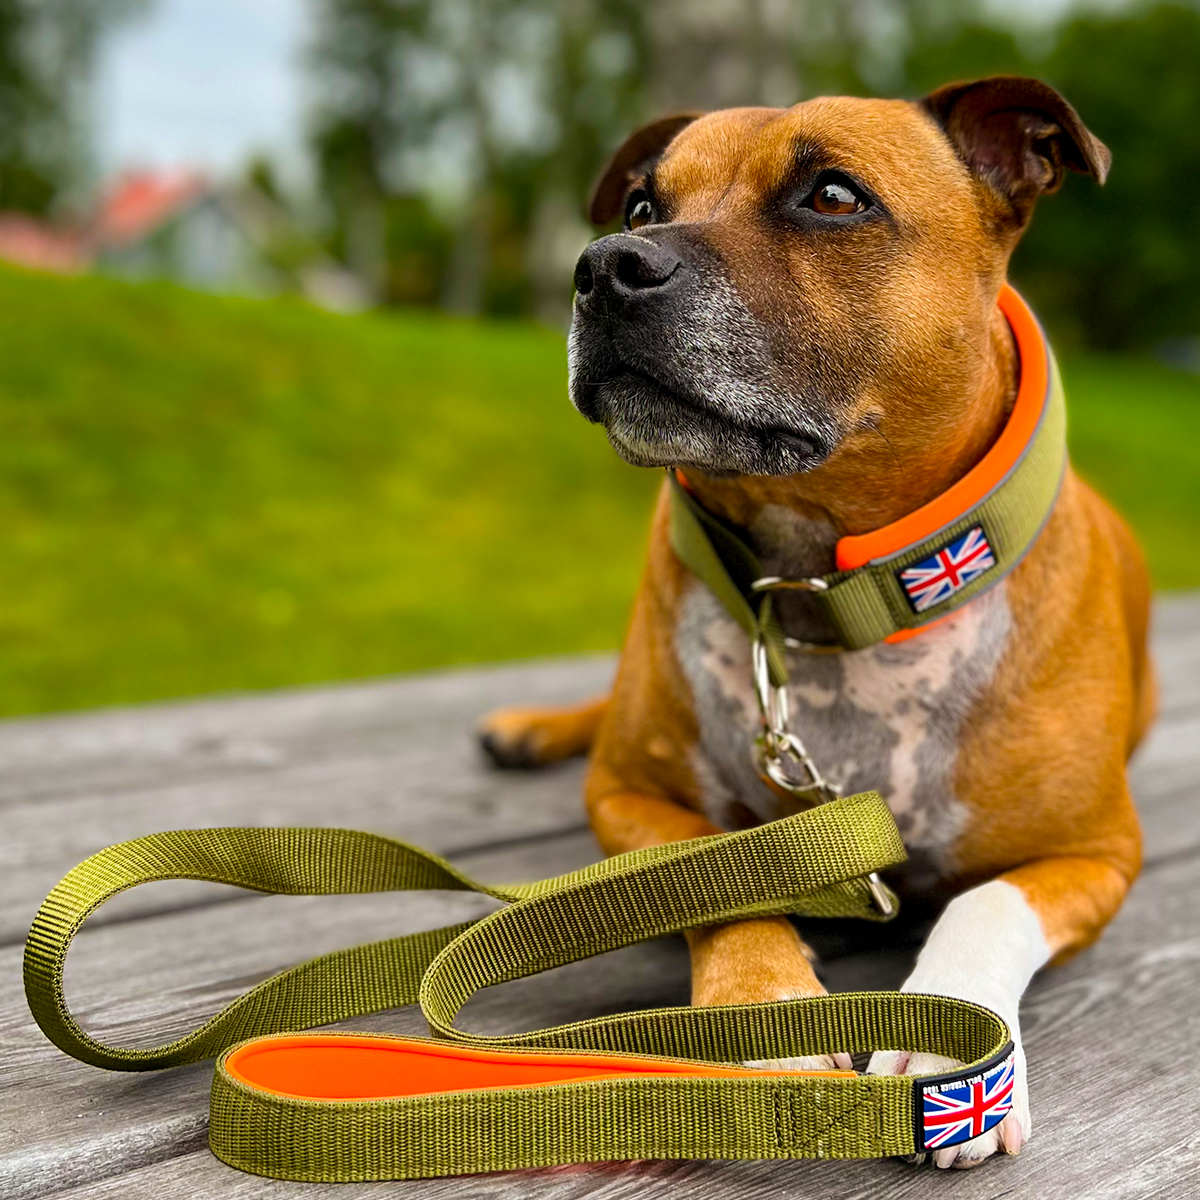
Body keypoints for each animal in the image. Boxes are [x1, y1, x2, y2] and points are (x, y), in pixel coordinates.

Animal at [472, 72, 1147, 1161]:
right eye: (642, 207)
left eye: (833, 196)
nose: (604, 265)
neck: (819, 593)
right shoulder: (628, 796)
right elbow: (707, 875)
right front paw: (767, 1006)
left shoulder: (1095, 852)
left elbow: (986, 901)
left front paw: (951, 1034)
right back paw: (530, 727)